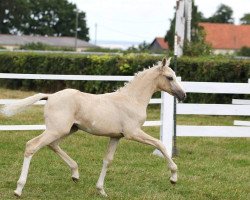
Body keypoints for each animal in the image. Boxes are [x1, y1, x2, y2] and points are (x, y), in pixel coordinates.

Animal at [1, 57, 186, 197]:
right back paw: (18, 189)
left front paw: (101, 190)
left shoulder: (116, 136)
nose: (183, 95)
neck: (131, 99)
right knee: (32, 146)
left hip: (68, 129)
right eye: (170, 77)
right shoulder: (133, 133)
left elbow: (107, 160)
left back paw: (75, 174)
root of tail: (50, 96)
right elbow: (160, 144)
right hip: (57, 130)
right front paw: (174, 177)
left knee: (52, 145)